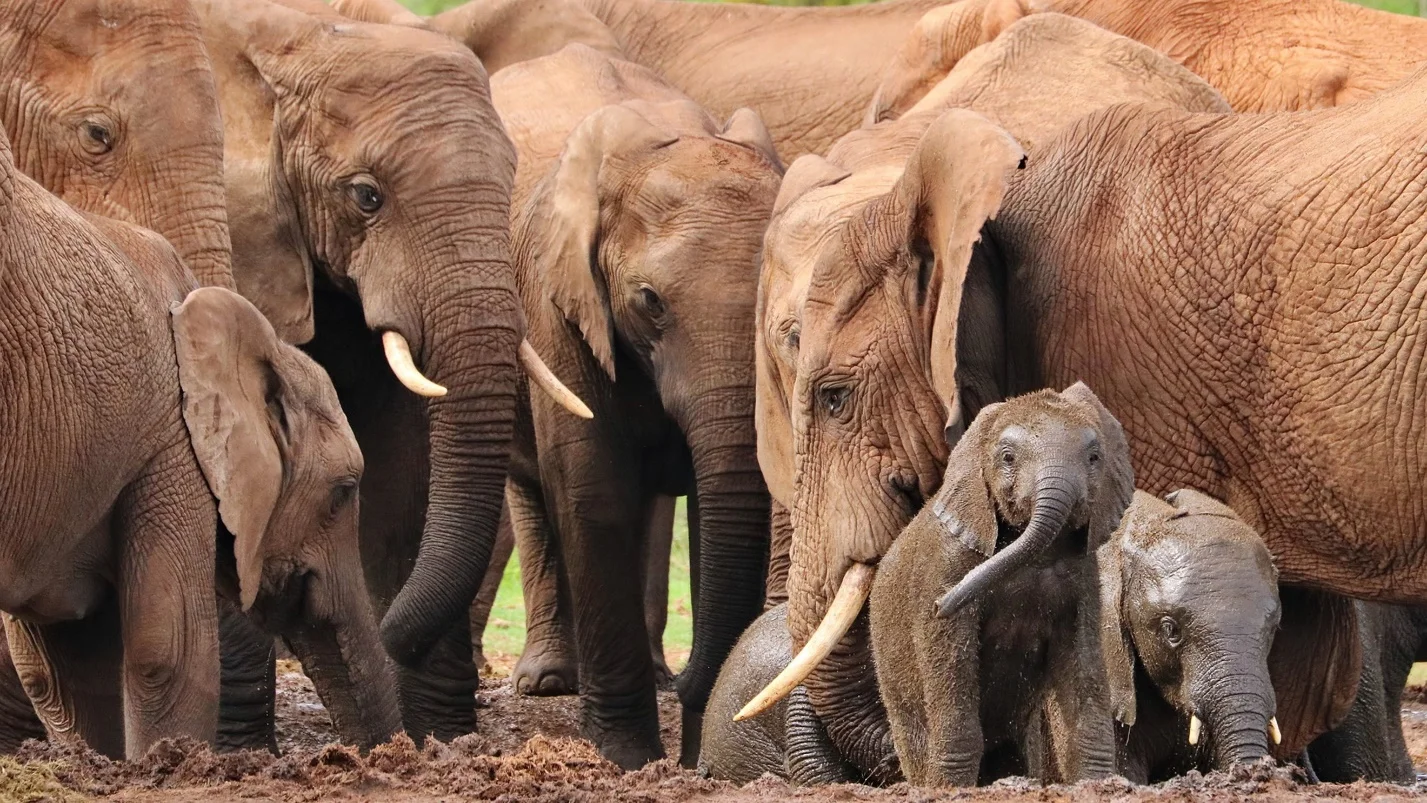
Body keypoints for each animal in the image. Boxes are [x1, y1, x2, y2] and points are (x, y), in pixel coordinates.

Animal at [192, 0, 585, 741]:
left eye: (510, 186)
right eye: (366, 196)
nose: (389, 634)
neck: (298, 35)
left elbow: (403, 460)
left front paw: (436, 737)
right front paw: (237, 750)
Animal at [486, 43, 783, 769]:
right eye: (649, 301)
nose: (693, 680)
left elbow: (715, 507)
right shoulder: (555, 301)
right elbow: (592, 489)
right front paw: (625, 757)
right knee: (532, 490)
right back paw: (548, 681)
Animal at [868, 383, 1129, 787]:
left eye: (1094, 457)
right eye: (1007, 458)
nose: (941, 605)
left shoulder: (1085, 582)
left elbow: (1083, 677)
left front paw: (1096, 784)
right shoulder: (945, 567)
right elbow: (953, 676)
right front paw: (950, 789)